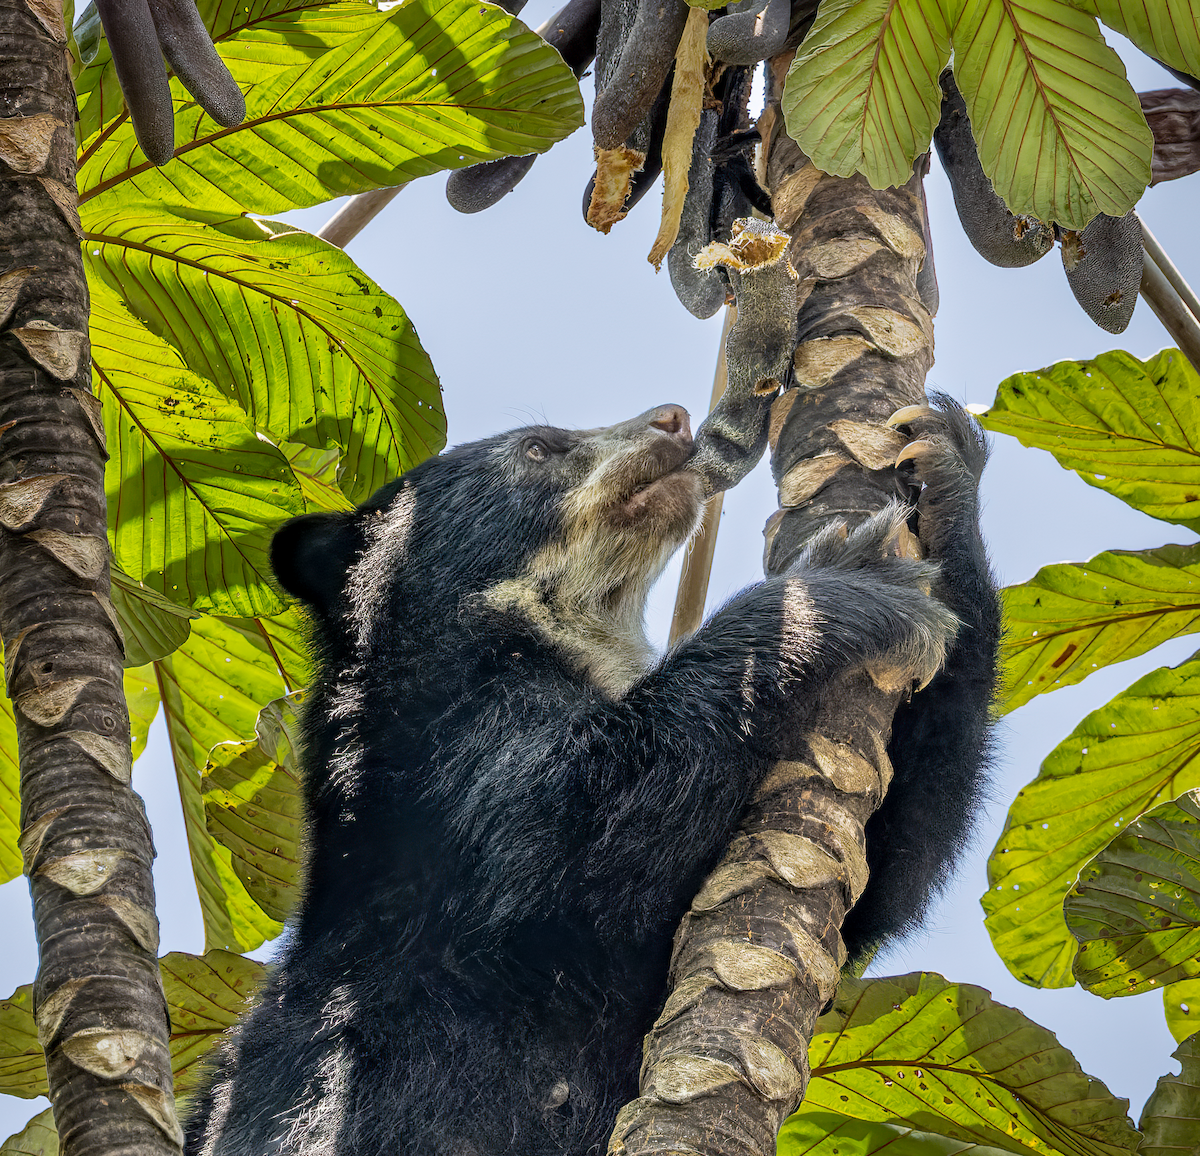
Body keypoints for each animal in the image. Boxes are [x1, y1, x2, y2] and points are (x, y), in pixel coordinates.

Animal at [183, 399, 996, 1156]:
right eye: (539, 448)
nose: (674, 417)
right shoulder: (448, 757)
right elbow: (572, 838)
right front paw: (842, 582)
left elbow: (882, 876)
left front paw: (945, 472)